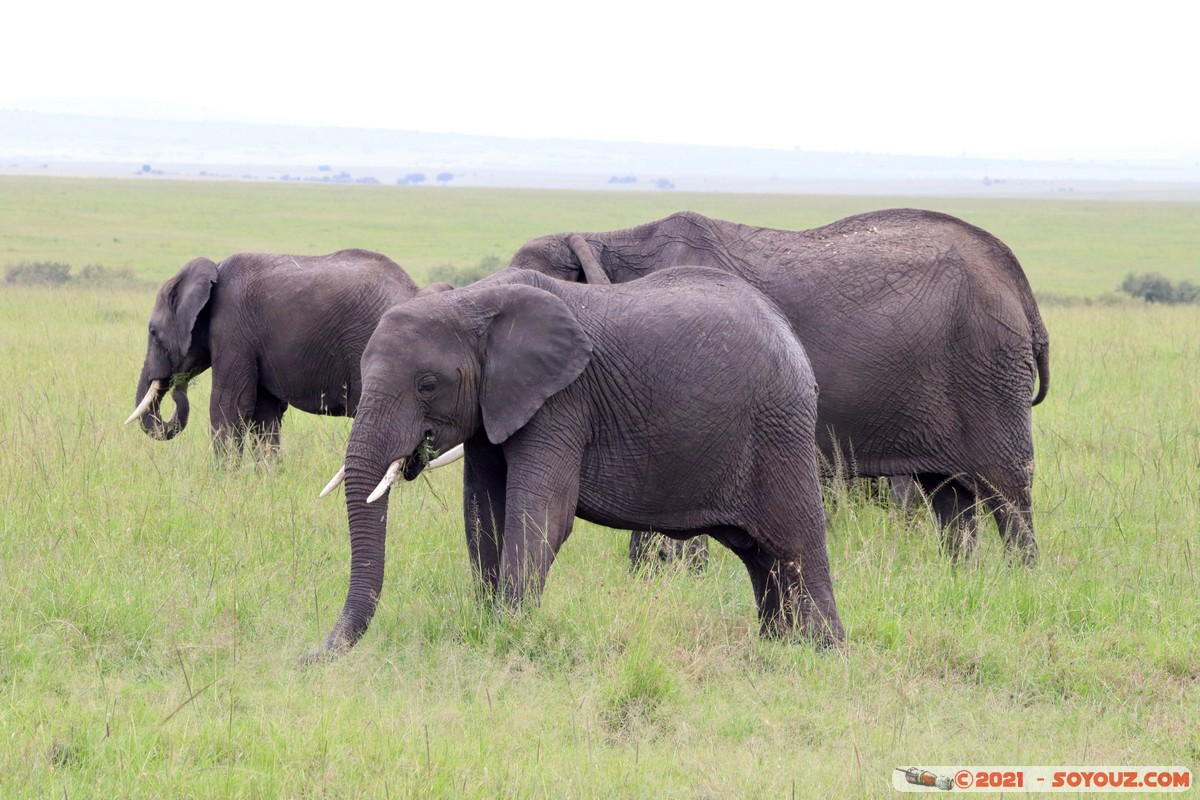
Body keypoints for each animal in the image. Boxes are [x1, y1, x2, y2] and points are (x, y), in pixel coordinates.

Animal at [125, 247, 446, 460]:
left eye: (153, 332)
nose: (178, 389)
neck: (212, 271)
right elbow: (264, 413)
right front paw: (267, 479)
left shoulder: (233, 329)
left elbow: (228, 405)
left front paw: (224, 480)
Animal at [314, 267, 849, 657]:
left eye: (427, 384)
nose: (310, 658)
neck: (472, 301)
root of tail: (786, 329)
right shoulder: (496, 406)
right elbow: (482, 515)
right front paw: (489, 627)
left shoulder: (562, 402)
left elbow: (542, 516)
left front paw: (508, 637)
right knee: (761, 556)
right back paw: (778, 648)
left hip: (778, 429)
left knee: (794, 542)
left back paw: (822, 653)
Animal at [506, 209, 1051, 566]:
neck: (604, 241)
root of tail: (1018, 281)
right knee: (949, 493)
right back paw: (964, 577)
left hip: (987, 364)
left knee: (1006, 488)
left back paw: (1020, 577)